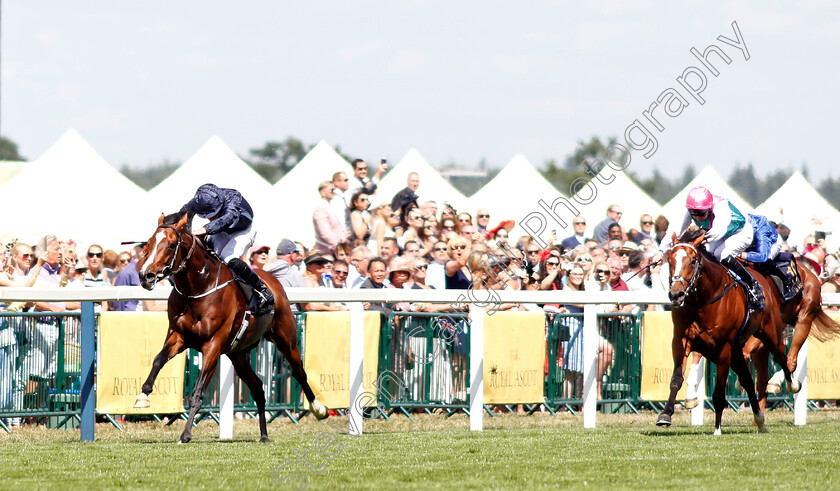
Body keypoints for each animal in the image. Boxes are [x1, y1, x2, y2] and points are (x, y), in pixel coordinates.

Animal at [133, 213, 326, 444]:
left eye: (171, 245)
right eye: (148, 243)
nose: (146, 275)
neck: (198, 287)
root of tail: (273, 280)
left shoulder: (213, 345)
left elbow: (197, 394)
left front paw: (185, 435)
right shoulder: (179, 337)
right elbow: (158, 359)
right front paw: (142, 396)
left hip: (286, 339)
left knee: (299, 373)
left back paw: (318, 409)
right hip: (238, 354)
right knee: (258, 388)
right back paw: (264, 435)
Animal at [656, 230, 796, 434]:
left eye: (692, 261)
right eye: (670, 260)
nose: (676, 294)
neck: (703, 301)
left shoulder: (723, 348)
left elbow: (719, 393)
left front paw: (717, 429)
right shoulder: (682, 340)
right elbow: (676, 378)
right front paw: (665, 415)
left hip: (770, 335)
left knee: (781, 358)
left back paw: (792, 384)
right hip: (737, 351)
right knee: (747, 380)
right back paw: (760, 421)